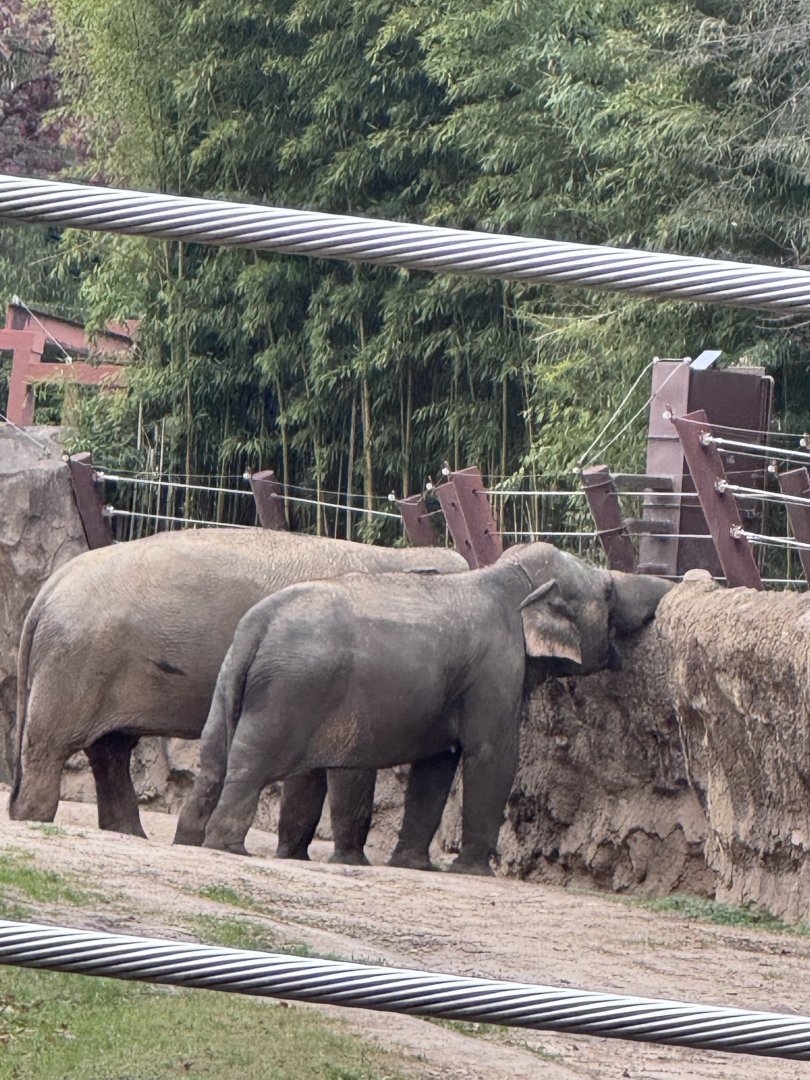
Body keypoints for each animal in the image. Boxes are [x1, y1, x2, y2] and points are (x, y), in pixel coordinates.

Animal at [9, 526, 466, 856]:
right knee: (53, 745)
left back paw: (127, 833)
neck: (401, 558)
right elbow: (342, 765)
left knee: (110, 748)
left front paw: (292, 855)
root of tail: (49, 588)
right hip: (76, 663)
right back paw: (34, 818)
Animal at [180, 542, 671, 875]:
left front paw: (414, 865)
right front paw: (473, 871)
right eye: (608, 591)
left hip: (231, 683)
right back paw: (227, 848)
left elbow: (437, 763)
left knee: (213, 762)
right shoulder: (495, 669)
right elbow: (492, 755)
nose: (678, 583)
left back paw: (189, 841)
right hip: (290, 692)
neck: (507, 578)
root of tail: (256, 626)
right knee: (249, 767)